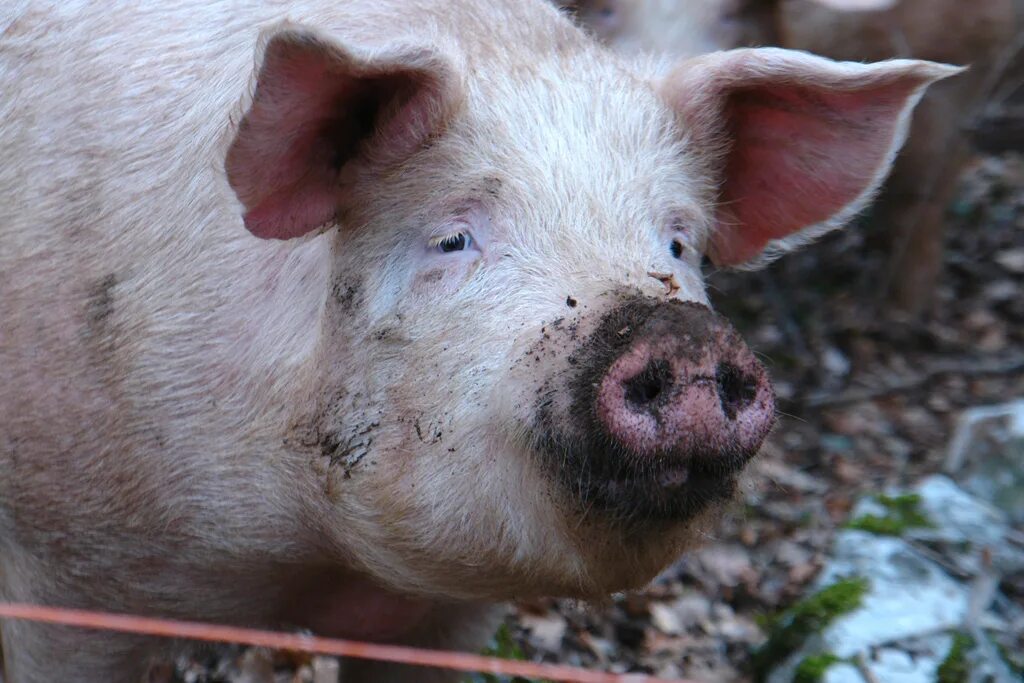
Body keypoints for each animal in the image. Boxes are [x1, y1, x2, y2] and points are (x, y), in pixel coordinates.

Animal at [0, 1, 954, 683]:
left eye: (679, 245)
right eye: (453, 237)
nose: (679, 330)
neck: (307, 557)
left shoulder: (445, 620)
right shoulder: (73, 568)